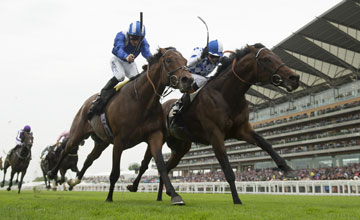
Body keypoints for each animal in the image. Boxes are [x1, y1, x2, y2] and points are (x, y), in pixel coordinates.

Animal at [48, 47, 194, 205]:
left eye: (185, 61)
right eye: (169, 60)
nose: (188, 80)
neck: (140, 101)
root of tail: (86, 103)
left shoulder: (155, 135)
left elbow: (161, 165)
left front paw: (175, 195)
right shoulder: (119, 141)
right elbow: (115, 172)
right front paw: (109, 197)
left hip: (102, 142)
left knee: (89, 159)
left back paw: (74, 181)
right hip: (78, 132)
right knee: (66, 149)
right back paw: (52, 173)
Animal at [128, 43, 300, 205]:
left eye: (277, 57)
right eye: (266, 59)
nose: (295, 78)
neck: (226, 95)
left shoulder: (242, 130)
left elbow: (266, 143)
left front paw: (288, 170)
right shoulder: (215, 134)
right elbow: (228, 171)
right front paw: (237, 200)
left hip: (181, 147)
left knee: (167, 166)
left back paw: (163, 196)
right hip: (157, 137)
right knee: (145, 164)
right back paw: (133, 186)